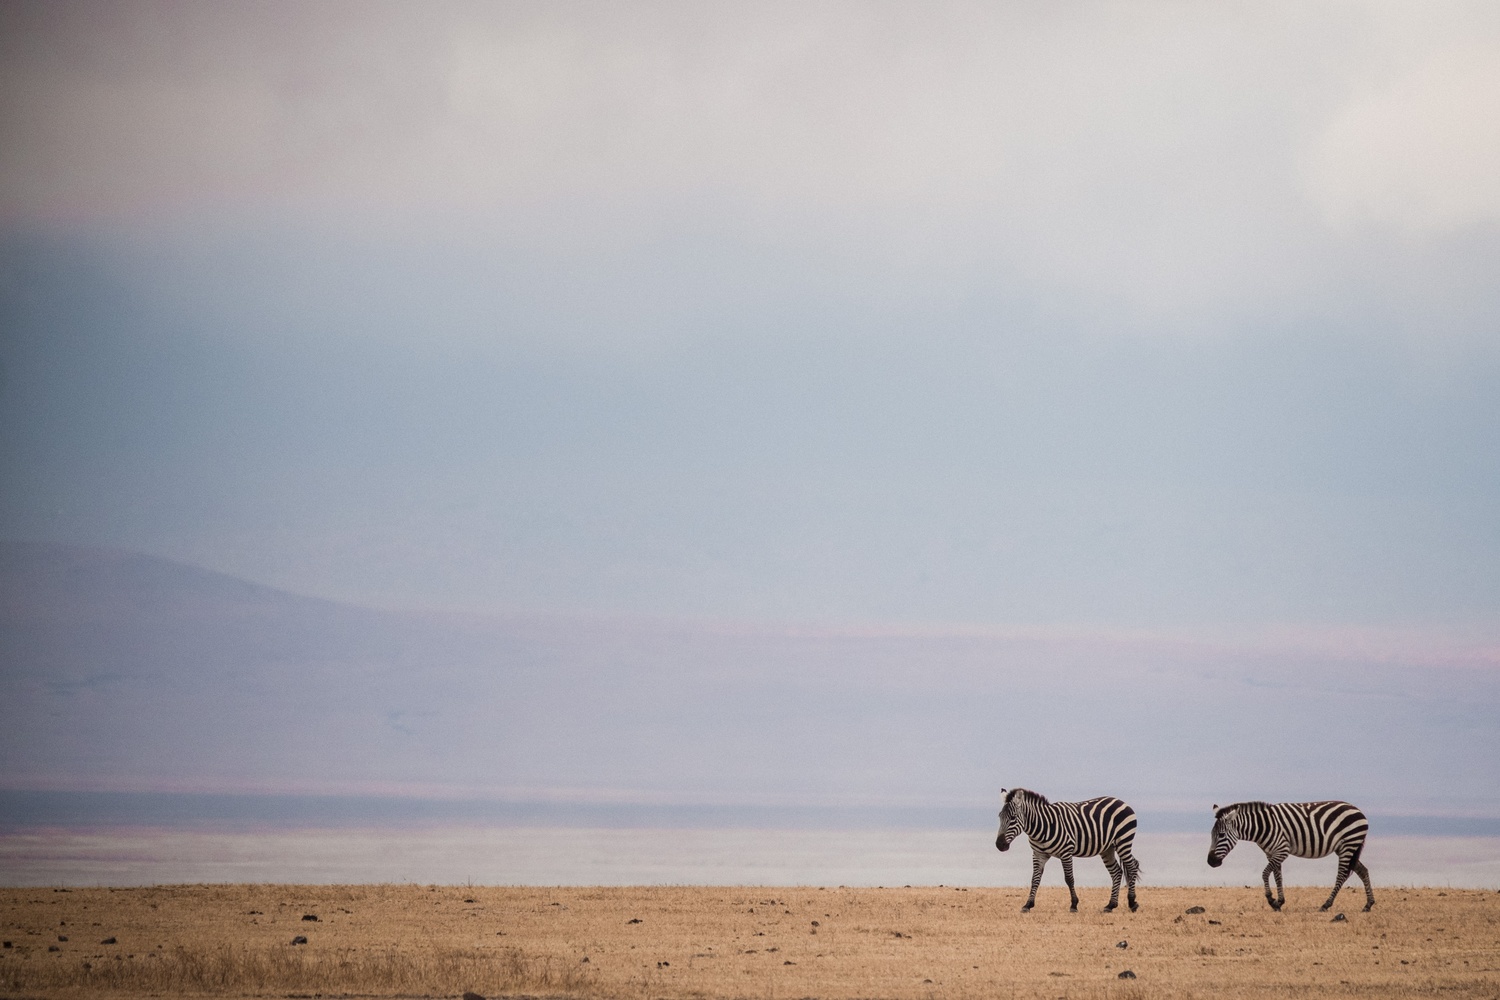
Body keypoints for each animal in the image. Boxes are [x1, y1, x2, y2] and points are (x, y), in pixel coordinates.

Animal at [990, 791, 1140, 917]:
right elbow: (1035, 879)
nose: (999, 845)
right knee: (1117, 872)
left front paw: (1074, 905)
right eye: (999, 816)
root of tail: (1120, 801)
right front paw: (1028, 904)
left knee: (1132, 866)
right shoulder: (1038, 854)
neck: (1043, 826)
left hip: (1123, 841)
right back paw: (1111, 905)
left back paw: (1132, 903)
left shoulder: (1066, 852)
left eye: (1013, 818)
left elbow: (1069, 879)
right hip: (1107, 848)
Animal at [1206, 803, 1374, 911]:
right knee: (1363, 870)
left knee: (1341, 875)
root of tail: (1359, 811)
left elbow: (1265, 873)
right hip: (1346, 848)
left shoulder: (1282, 850)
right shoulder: (1272, 853)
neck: (1263, 826)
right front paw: (1279, 902)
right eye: (1211, 835)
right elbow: (1277, 876)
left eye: (1221, 835)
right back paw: (1368, 904)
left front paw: (1271, 899)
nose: (1210, 862)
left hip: (1349, 844)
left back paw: (1326, 904)